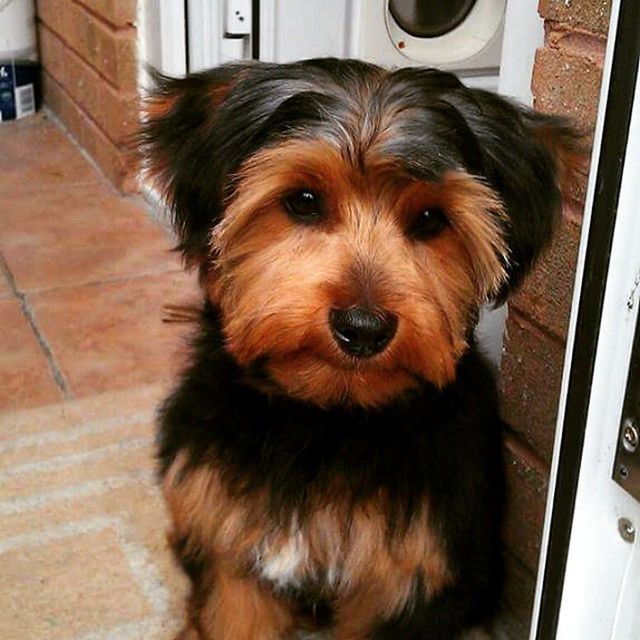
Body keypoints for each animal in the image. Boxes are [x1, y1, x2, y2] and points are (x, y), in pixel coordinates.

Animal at [138, 58, 584, 640]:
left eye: (431, 220)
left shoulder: (404, 577)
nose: (364, 328)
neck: (328, 419)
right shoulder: (228, 542)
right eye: (303, 201)